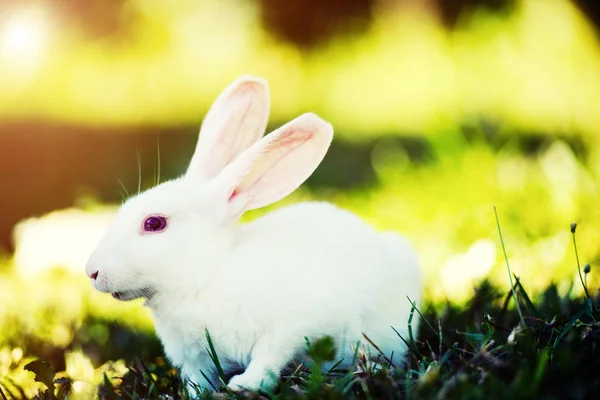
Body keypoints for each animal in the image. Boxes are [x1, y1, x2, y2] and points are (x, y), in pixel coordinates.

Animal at [85, 76, 422, 394]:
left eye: (154, 223)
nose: (92, 272)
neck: (206, 277)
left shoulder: (293, 325)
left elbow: (269, 355)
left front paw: (245, 385)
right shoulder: (196, 360)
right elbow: (197, 380)